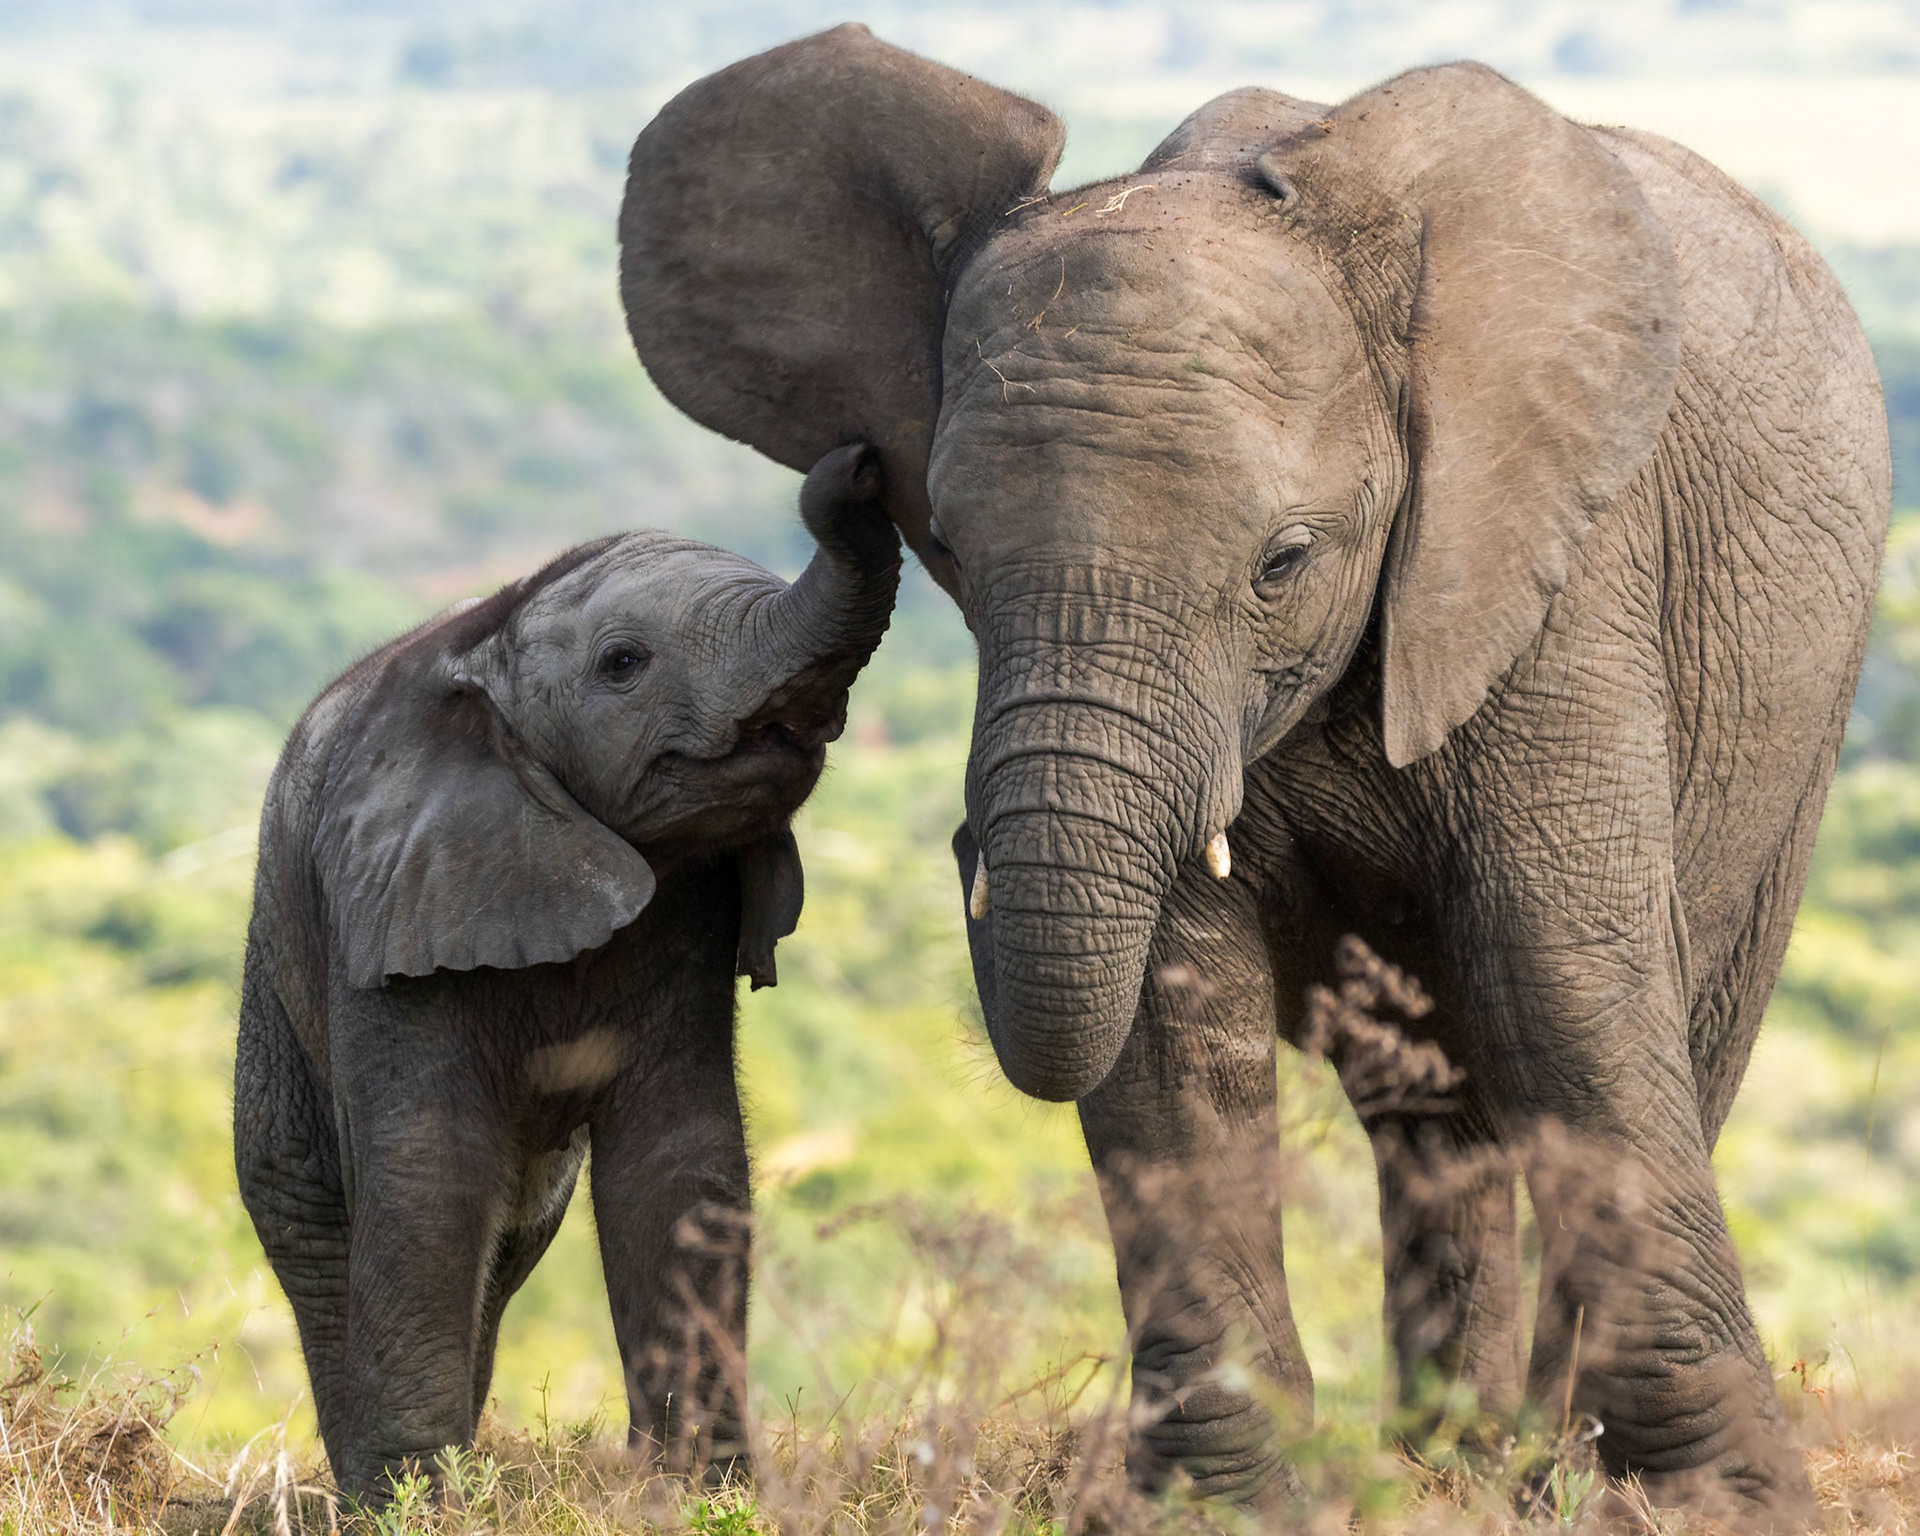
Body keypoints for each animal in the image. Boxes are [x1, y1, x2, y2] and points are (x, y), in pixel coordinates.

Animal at [233, 446, 900, 1498]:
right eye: (623, 664)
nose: (860, 466)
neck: (490, 645)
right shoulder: (394, 905)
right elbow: (427, 1168)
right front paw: (422, 1504)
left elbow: (677, 1162)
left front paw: (703, 1493)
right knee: (306, 1207)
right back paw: (363, 1495)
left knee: (511, 1237)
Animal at [614, 25, 1891, 1526]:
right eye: (956, 555)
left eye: (1284, 562)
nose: (845, 481)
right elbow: (1178, 1012)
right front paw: (1230, 1503)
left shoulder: (1557, 574)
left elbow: (1558, 973)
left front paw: (1707, 1503)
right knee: (1431, 1112)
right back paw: (1450, 1457)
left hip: (1803, 712)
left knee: (1675, 1026)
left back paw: (1522, 1463)